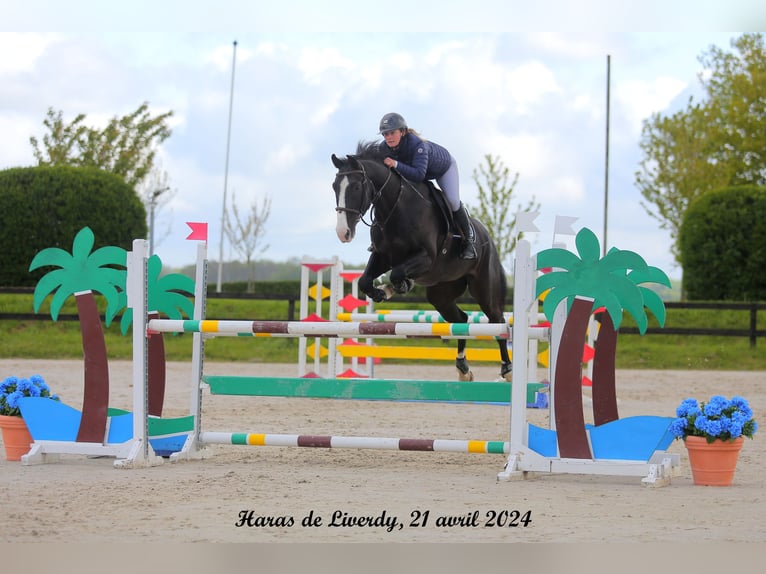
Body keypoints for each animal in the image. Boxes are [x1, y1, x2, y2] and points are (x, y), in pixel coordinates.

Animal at [328, 142, 512, 382]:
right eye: (334, 187)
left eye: (357, 187)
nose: (343, 233)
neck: (394, 208)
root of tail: (487, 236)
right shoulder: (382, 256)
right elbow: (365, 281)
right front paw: (382, 291)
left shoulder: (426, 258)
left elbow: (397, 273)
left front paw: (394, 287)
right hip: (440, 294)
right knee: (461, 319)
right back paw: (463, 368)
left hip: (484, 289)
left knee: (498, 321)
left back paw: (507, 370)